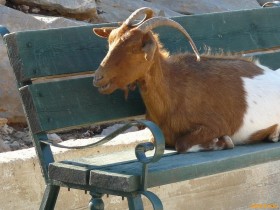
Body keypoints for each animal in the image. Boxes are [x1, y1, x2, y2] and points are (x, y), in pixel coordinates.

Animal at [93, 7, 280, 153]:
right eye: (110, 41)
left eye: (133, 47)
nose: (98, 77)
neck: (174, 89)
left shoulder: (216, 124)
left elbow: (181, 143)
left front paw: (221, 142)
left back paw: (274, 133)